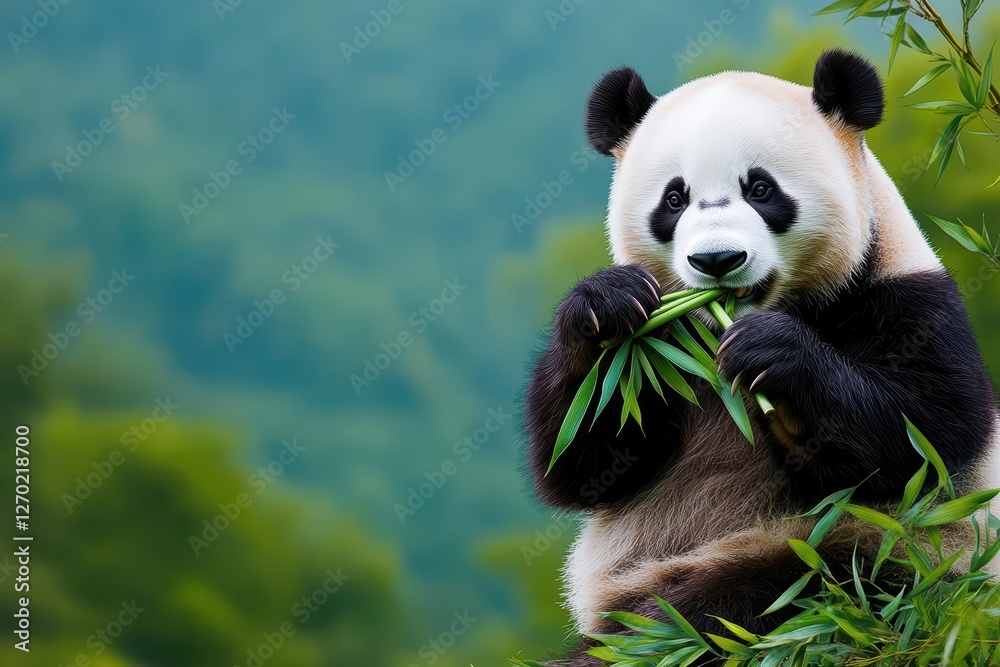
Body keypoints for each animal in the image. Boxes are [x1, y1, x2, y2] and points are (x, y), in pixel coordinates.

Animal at [522, 49, 1000, 664]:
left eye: (761, 190)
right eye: (674, 199)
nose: (717, 260)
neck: (715, 334)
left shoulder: (908, 300)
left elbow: (925, 436)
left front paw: (774, 357)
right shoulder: (666, 354)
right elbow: (585, 460)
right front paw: (606, 308)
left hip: (867, 562)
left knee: (765, 601)